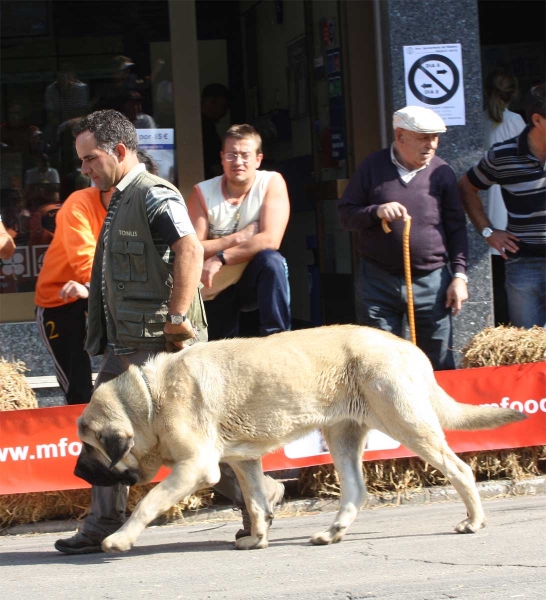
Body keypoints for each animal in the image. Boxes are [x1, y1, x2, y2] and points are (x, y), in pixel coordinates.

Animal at [73, 326, 524, 552]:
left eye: (88, 446)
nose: (77, 472)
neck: (148, 401)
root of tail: (409, 346)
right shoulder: (242, 461)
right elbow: (256, 501)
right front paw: (257, 538)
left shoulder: (195, 468)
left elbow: (148, 502)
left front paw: (119, 538)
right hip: (342, 435)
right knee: (355, 491)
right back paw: (332, 532)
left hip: (406, 423)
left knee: (460, 468)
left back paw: (474, 521)